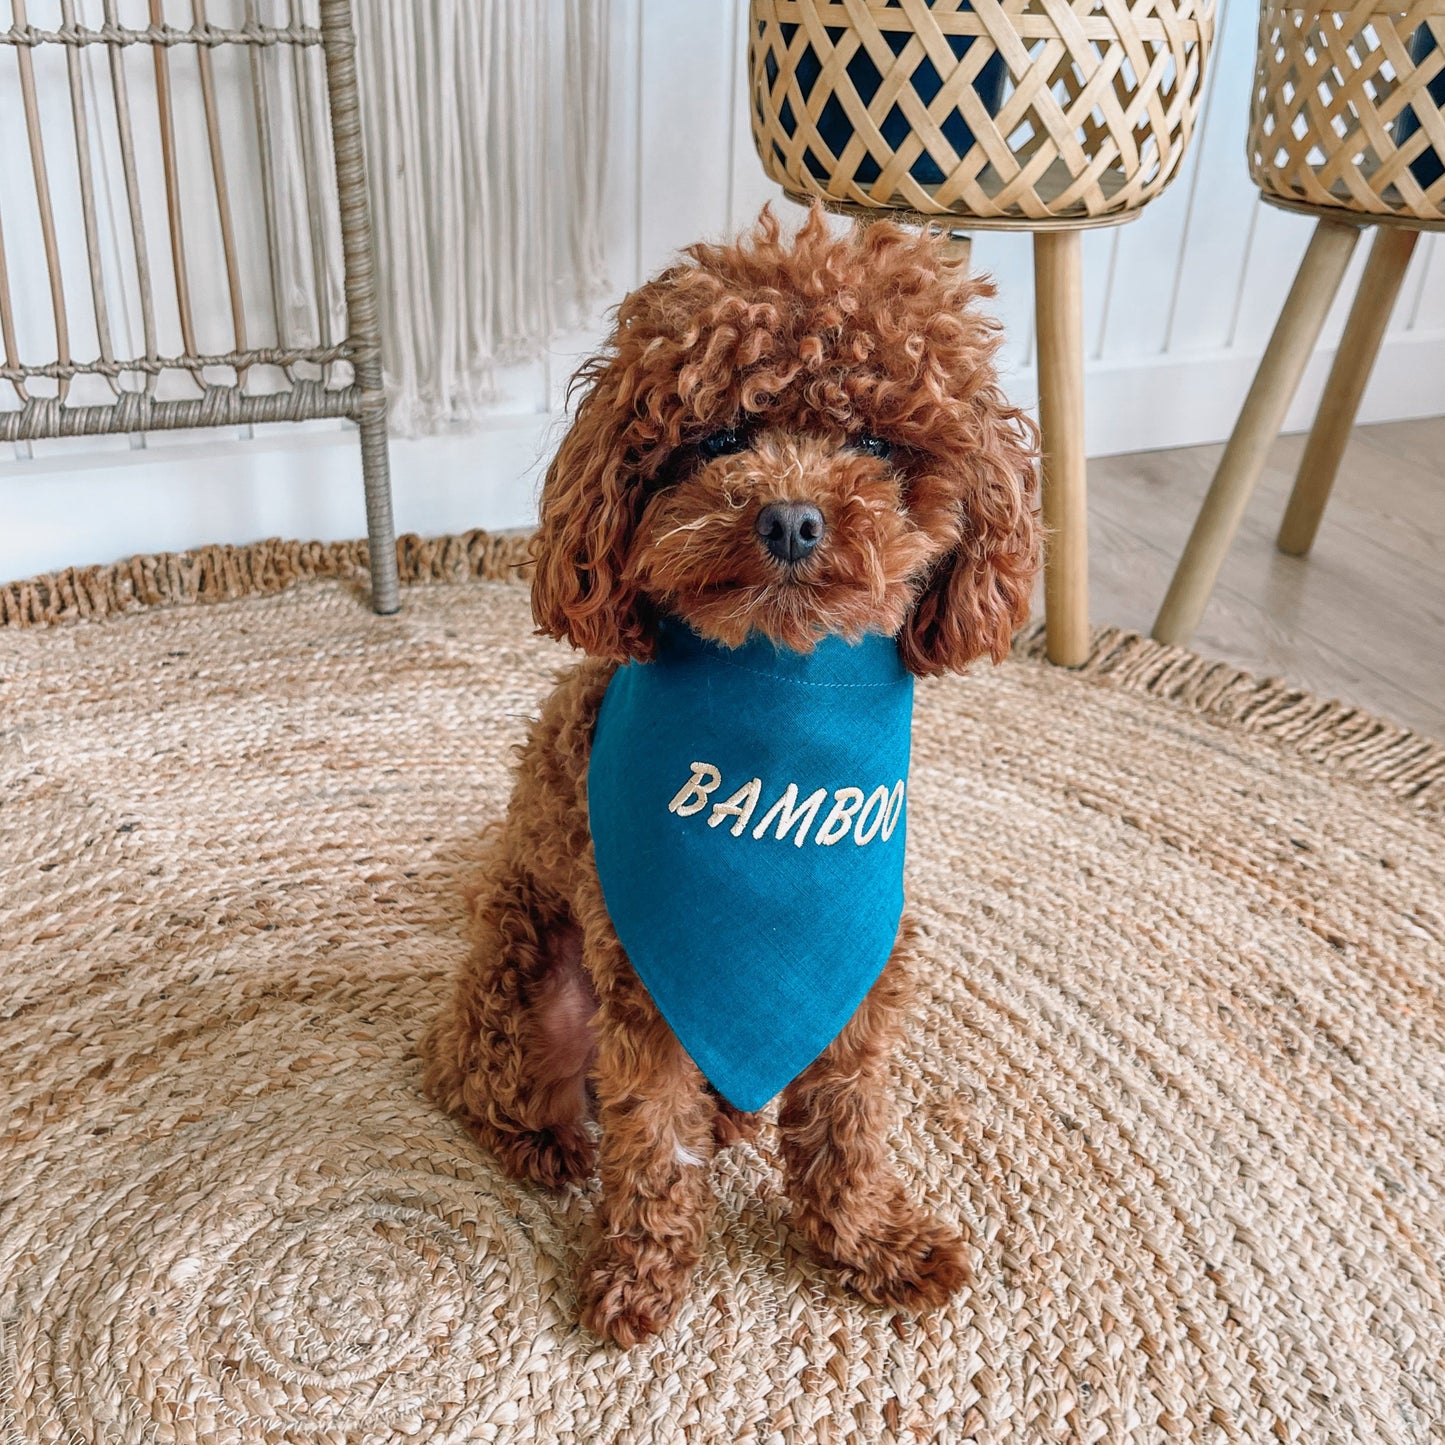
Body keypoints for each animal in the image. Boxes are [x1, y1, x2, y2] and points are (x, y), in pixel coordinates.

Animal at [419, 209, 1040, 1346]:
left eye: (874, 444)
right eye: (715, 441)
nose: (790, 518)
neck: (779, 690)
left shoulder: (859, 979)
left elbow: (844, 1127)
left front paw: (871, 1243)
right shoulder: (644, 995)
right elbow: (654, 1146)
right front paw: (641, 1274)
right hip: (529, 980)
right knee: (481, 1080)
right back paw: (546, 1144)